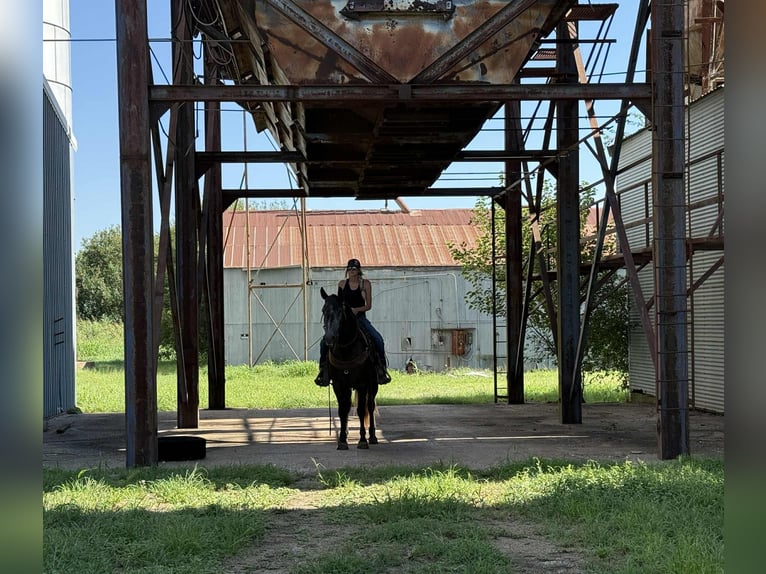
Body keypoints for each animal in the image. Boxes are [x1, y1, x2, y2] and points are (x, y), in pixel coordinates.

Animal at [320, 286, 379, 450]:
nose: (330, 338)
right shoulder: (339, 385)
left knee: (370, 406)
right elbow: (343, 410)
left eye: (341, 311)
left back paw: (372, 436)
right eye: (323, 310)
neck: (346, 349)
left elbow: (361, 410)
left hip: (373, 384)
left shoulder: (362, 384)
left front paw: (363, 440)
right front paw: (342, 440)